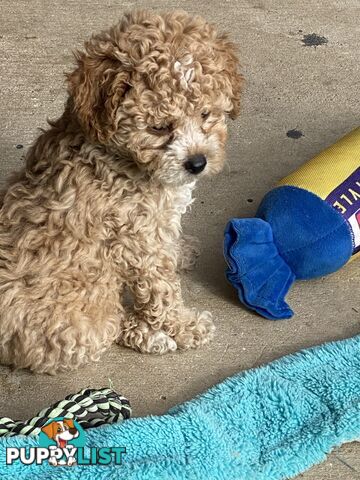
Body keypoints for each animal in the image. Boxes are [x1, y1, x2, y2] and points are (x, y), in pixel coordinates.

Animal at [0, 9, 242, 374]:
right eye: (159, 127)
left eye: (206, 114)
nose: (197, 163)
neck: (120, 157)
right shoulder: (138, 240)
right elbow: (161, 291)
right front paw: (185, 327)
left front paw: (180, 250)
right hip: (79, 320)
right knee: (108, 327)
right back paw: (151, 336)